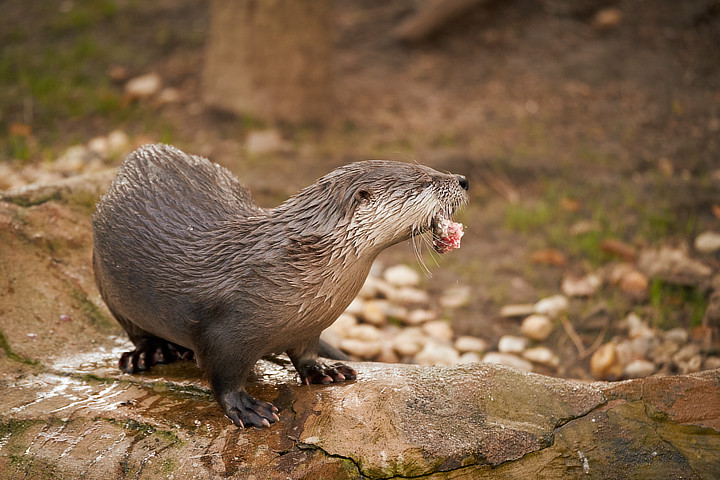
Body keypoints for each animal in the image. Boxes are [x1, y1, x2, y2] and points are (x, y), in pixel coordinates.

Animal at [93, 143, 466, 428]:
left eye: (428, 168)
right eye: (425, 180)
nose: (463, 179)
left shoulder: (309, 325)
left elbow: (306, 353)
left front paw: (323, 370)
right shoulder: (223, 334)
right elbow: (223, 377)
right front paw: (247, 408)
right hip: (106, 283)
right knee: (135, 331)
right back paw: (149, 353)